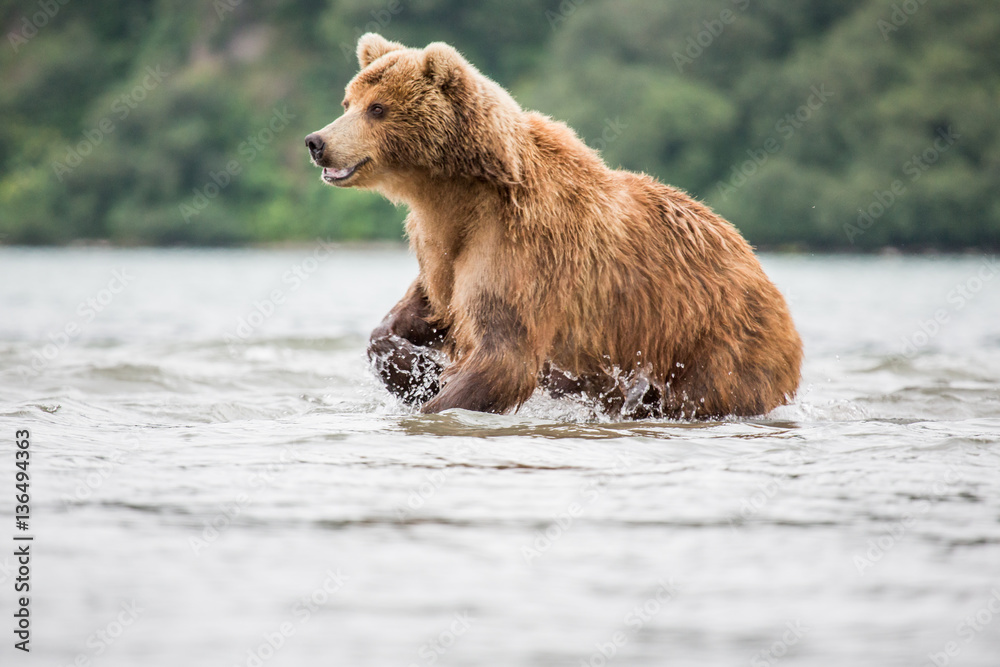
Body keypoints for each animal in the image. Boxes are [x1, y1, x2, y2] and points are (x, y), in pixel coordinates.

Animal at [304, 33, 802, 419]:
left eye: (378, 108)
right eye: (347, 102)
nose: (317, 141)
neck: (456, 193)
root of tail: (760, 268)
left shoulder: (519, 250)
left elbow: (503, 356)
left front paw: (437, 399)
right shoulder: (440, 250)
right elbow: (420, 313)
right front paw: (415, 371)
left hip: (713, 340)